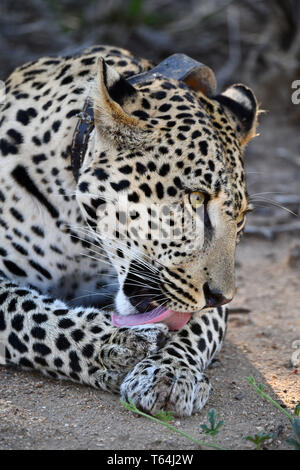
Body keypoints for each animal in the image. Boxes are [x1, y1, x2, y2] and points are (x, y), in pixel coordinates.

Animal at [0, 46, 258, 416]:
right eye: (196, 199)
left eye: (240, 219)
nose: (224, 297)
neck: (77, 230)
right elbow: (29, 317)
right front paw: (116, 344)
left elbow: (196, 327)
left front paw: (170, 371)